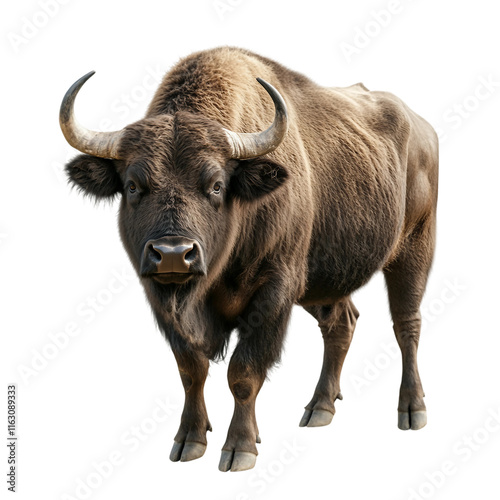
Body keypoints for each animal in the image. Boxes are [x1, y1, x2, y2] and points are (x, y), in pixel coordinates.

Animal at [60, 45, 440, 470]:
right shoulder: (164, 303)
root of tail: (422, 128)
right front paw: (188, 441)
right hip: (324, 282)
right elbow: (191, 370)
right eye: (132, 185)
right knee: (342, 323)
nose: (174, 254)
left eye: (216, 185)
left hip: (414, 249)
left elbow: (243, 373)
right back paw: (319, 409)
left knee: (406, 324)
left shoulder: (274, 293)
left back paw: (412, 411)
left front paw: (239, 448)